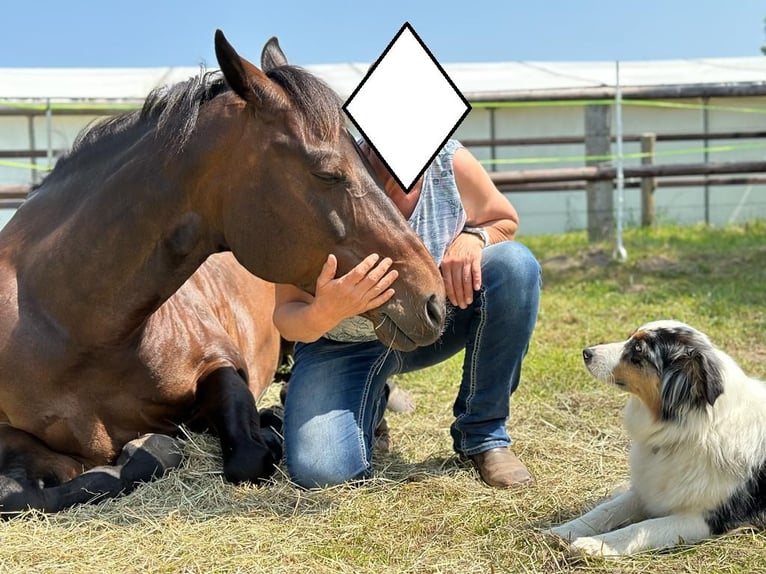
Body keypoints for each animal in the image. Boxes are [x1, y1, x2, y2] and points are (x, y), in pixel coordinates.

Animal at [0, 30, 446, 515]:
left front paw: (255, 432)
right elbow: (21, 494)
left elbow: (246, 455)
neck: (72, 324)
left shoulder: (221, 363)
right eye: (328, 173)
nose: (434, 299)